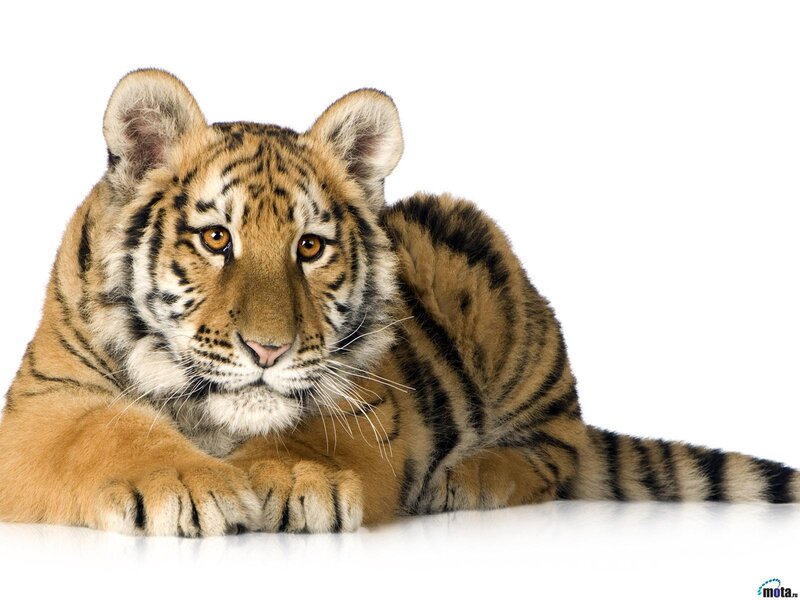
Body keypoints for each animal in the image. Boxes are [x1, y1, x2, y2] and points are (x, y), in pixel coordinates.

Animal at [0, 69, 796, 536]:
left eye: (310, 247)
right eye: (216, 237)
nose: (268, 351)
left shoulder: (372, 404)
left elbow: (312, 433)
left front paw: (296, 479)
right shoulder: (42, 404)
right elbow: (107, 430)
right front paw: (190, 484)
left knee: (558, 452)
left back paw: (465, 480)